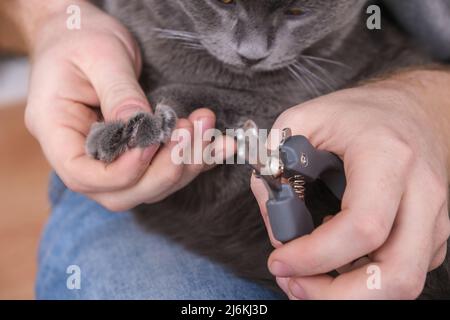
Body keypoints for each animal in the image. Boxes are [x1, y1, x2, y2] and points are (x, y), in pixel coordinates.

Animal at [86, 0, 448, 300]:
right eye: (224, 2)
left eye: (297, 13)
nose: (252, 55)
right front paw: (120, 129)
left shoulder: (274, 107)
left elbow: (208, 98)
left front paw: (136, 125)